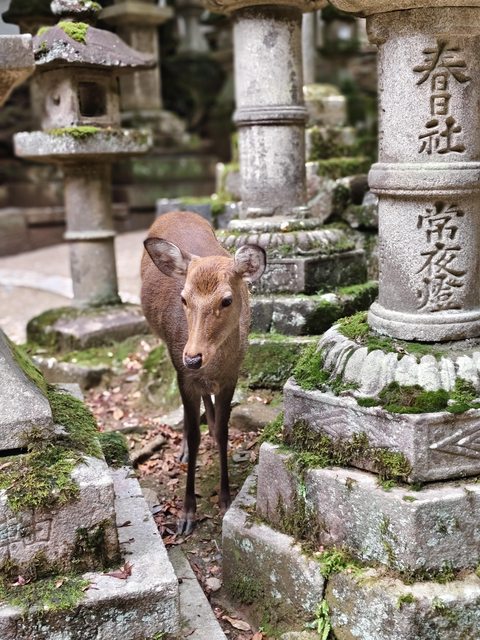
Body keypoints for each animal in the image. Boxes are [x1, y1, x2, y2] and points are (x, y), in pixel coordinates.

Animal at [141, 211, 266, 535]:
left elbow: (223, 432)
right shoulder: (182, 374)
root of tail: (176, 212)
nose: (193, 357)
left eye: (227, 299)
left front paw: (225, 499)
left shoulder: (232, 375)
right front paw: (187, 514)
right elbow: (195, 434)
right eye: (184, 298)